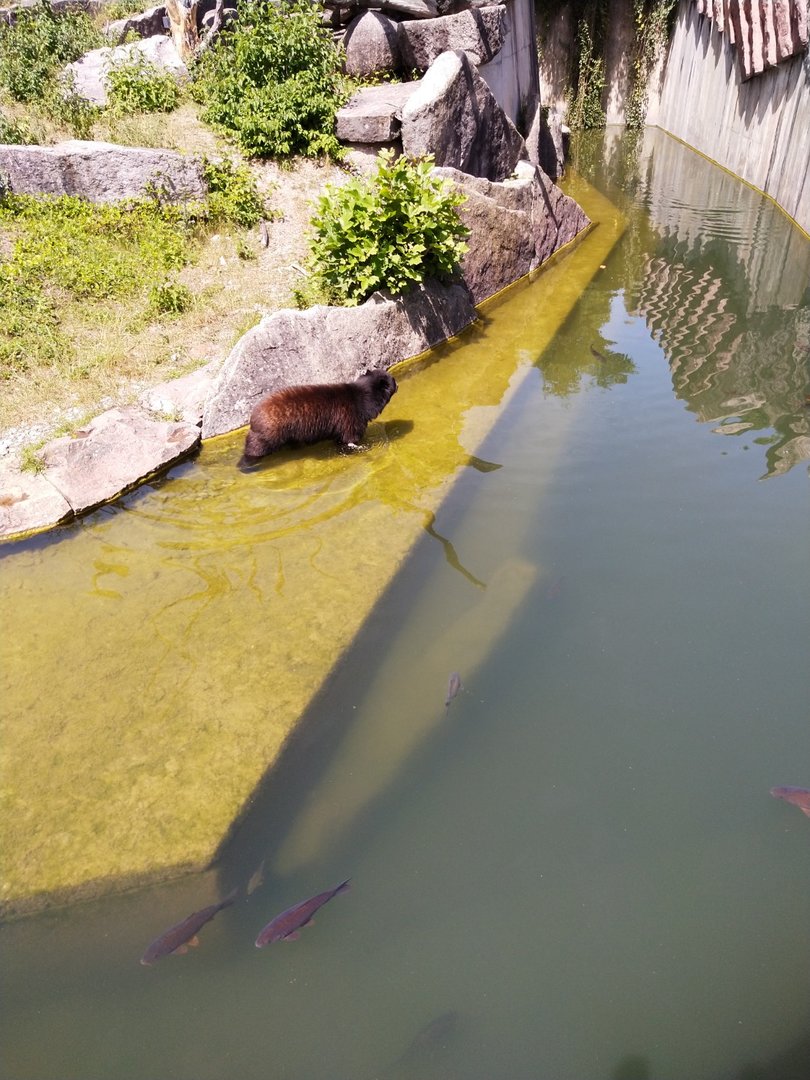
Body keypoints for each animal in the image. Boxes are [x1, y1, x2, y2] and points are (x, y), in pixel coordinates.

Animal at [240, 368, 398, 467]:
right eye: (394, 381)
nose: (397, 385)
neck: (362, 398)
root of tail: (253, 418)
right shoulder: (350, 423)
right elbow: (349, 440)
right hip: (267, 435)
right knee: (254, 449)